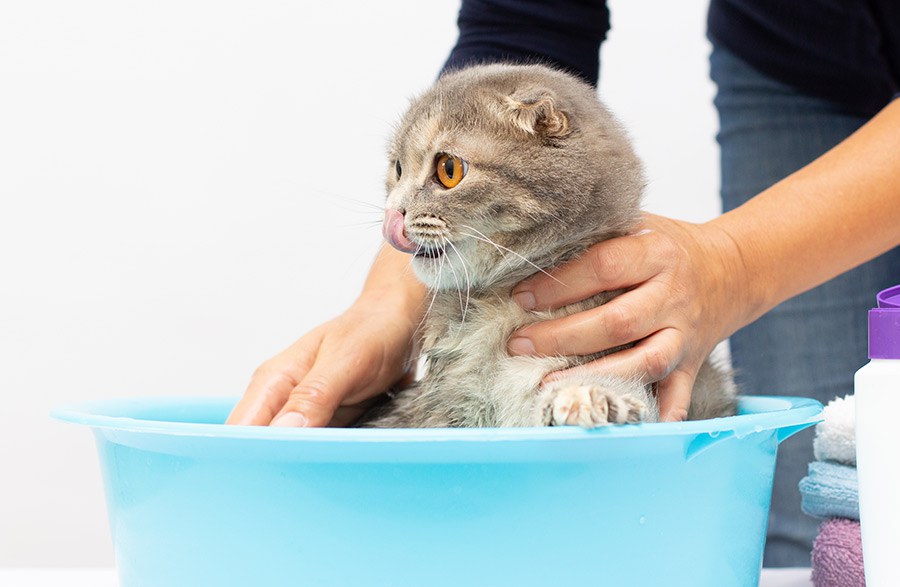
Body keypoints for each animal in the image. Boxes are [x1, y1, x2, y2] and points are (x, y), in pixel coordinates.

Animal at [358, 64, 740, 430]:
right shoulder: (442, 409)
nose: (391, 217)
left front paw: (585, 399)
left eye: (448, 169)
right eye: (397, 168)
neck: (496, 302)